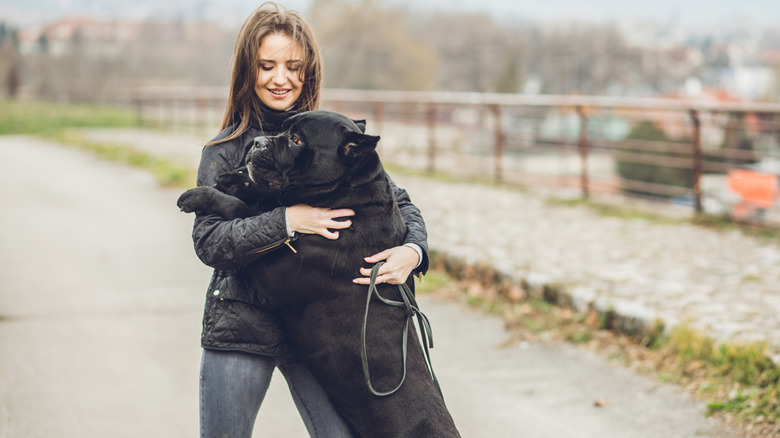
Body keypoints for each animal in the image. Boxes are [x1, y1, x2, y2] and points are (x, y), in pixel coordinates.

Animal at [177, 110, 458, 438]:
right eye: (282, 129)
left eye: (297, 140)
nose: (257, 142)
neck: (349, 195)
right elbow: (263, 201)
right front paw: (233, 179)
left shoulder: (268, 273)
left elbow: (244, 211)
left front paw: (200, 195)